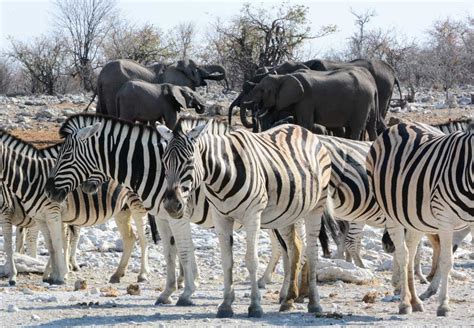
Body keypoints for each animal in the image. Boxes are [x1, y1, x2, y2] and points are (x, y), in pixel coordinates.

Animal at [0, 131, 150, 284]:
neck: (30, 179)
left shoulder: (50, 214)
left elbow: (57, 243)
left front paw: (60, 274)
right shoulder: (41, 217)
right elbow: (51, 245)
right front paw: (53, 273)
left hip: (138, 204)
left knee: (143, 237)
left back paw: (143, 274)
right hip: (122, 210)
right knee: (130, 237)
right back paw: (118, 274)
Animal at [244, 68, 378, 141]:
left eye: (262, 90)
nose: (255, 108)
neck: (283, 77)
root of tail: (373, 84)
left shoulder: (306, 99)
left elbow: (305, 123)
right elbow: (298, 122)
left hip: (362, 102)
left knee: (356, 128)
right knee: (370, 126)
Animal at [368, 121, 472, 316]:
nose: (385, 245)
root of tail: (401, 124)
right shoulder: (445, 219)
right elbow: (446, 261)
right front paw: (443, 305)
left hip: (414, 219)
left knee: (410, 251)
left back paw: (415, 301)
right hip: (392, 214)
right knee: (403, 255)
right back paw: (404, 303)